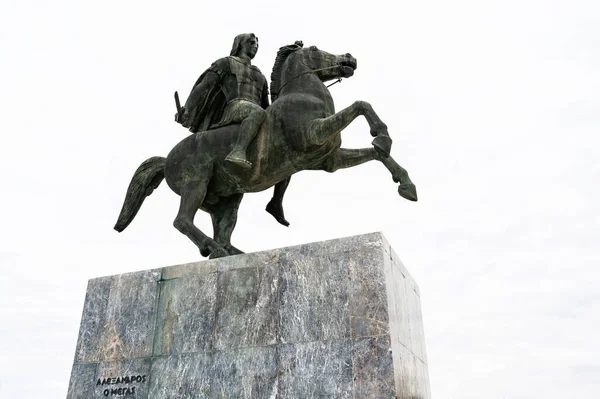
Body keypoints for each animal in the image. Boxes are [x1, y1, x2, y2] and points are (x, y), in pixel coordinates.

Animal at [116, 42, 418, 258]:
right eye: (315, 48)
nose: (349, 58)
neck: (304, 94)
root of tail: (167, 159)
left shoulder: (328, 160)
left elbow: (378, 154)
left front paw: (405, 184)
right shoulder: (313, 134)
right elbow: (360, 105)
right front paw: (381, 134)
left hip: (226, 200)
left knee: (222, 229)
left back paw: (230, 251)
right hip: (196, 184)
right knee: (182, 221)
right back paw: (213, 248)